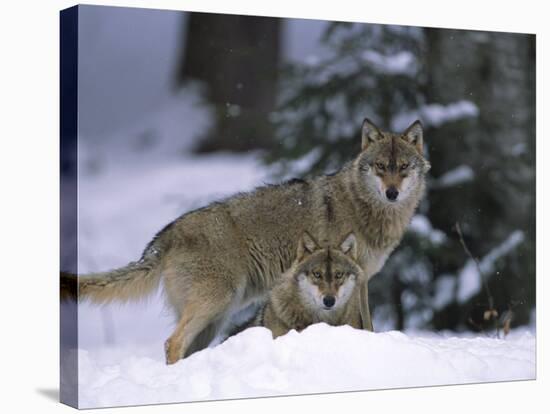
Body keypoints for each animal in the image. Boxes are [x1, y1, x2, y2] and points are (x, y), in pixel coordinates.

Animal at [61, 118, 432, 364]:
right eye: (381, 166)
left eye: (403, 167)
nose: (392, 192)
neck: (363, 207)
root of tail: (165, 234)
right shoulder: (355, 281)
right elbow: (365, 324)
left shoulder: (361, 280)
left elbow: (367, 324)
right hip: (215, 304)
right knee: (171, 343)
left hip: (215, 319)